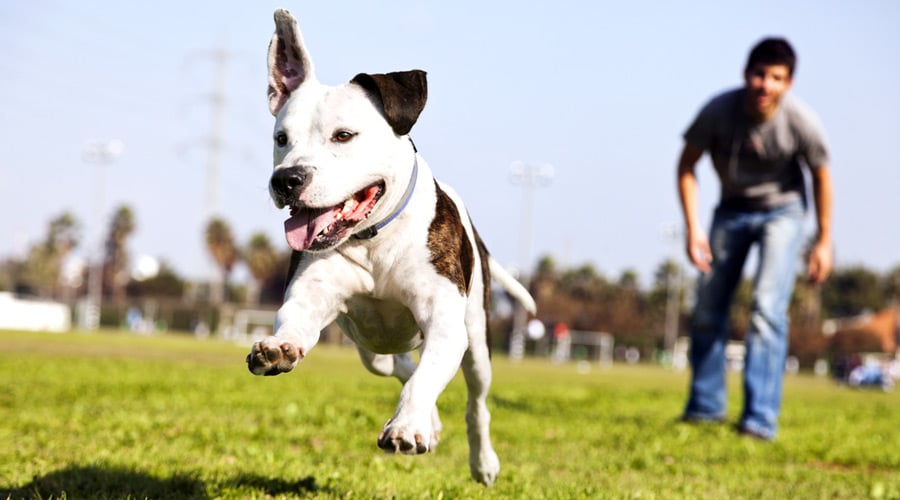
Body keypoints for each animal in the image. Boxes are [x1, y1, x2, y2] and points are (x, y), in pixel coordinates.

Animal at [246, 7, 536, 484]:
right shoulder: (311, 295)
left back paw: (481, 460)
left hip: (477, 341)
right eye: (281, 138)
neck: (373, 238)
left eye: (344, 135)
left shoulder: (444, 321)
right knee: (396, 365)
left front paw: (407, 427)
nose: (287, 179)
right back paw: (431, 422)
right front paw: (278, 349)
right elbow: (295, 321)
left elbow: (428, 377)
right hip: (370, 347)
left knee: (475, 402)